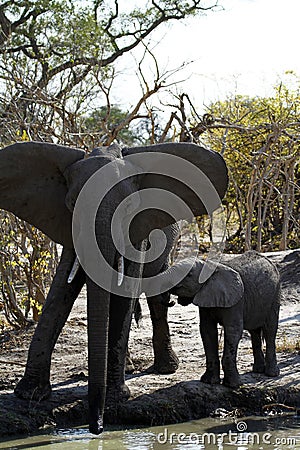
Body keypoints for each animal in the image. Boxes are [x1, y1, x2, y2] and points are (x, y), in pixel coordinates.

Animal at [0, 140, 227, 432]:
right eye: (72, 205)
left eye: (129, 207)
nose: (96, 428)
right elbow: (60, 291)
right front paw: (29, 394)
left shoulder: (139, 227)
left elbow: (125, 290)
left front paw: (117, 397)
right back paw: (129, 367)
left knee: (156, 291)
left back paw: (165, 368)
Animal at [170, 251, 280, 388]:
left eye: (189, 275)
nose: (172, 301)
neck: (210, 266)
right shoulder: (206, 299)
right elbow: (207, 330)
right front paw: (209, 381)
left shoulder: (236, 301)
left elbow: (233, 330)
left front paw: (233, 385)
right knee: (254, 331)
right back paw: (258, 370)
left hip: (274, 295)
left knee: (270, 330)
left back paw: (272, 374)